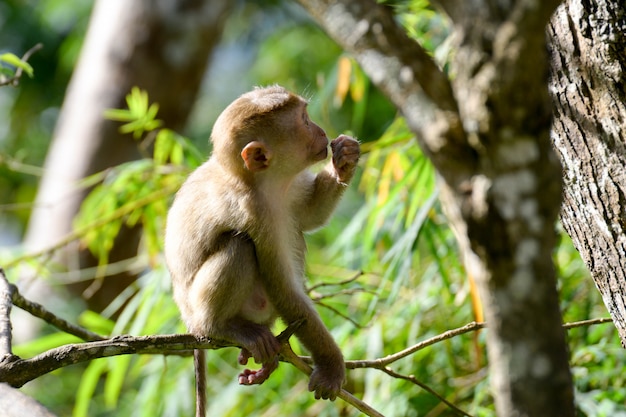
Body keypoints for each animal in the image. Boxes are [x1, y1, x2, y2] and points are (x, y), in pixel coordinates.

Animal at [165, 83, 360, 412]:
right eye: (305, 121)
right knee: (241, 246)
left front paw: (344, 157)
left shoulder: (290, 186)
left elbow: (309, 215)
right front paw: (331, 366)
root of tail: (188, 320)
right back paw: (222, 327)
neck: (266, 183)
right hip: (198, 309)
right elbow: (283, 286)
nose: (322, 131)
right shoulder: (256, 211)